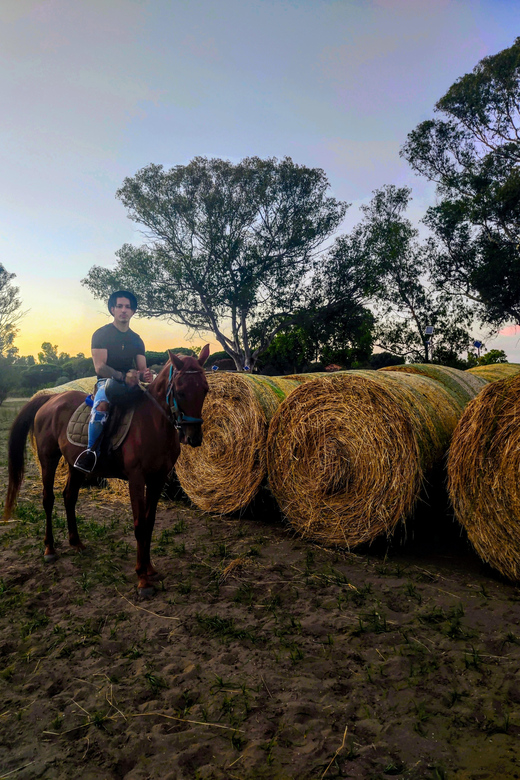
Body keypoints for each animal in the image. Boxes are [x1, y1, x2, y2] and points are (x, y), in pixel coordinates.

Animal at [2, 344, 209, 596]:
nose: (194, 438)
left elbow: (150, 522)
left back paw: (76, 542)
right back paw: (50, 549)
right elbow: (139, 524)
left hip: (75, 465)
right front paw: (142, 579)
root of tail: (51, 398)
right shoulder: (137, 479)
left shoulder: (158, 479)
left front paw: (149, 568)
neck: (153, 423)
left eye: (205, 390)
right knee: (48, 499)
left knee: (69, 497)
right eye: (180, 392)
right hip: (48, 459)